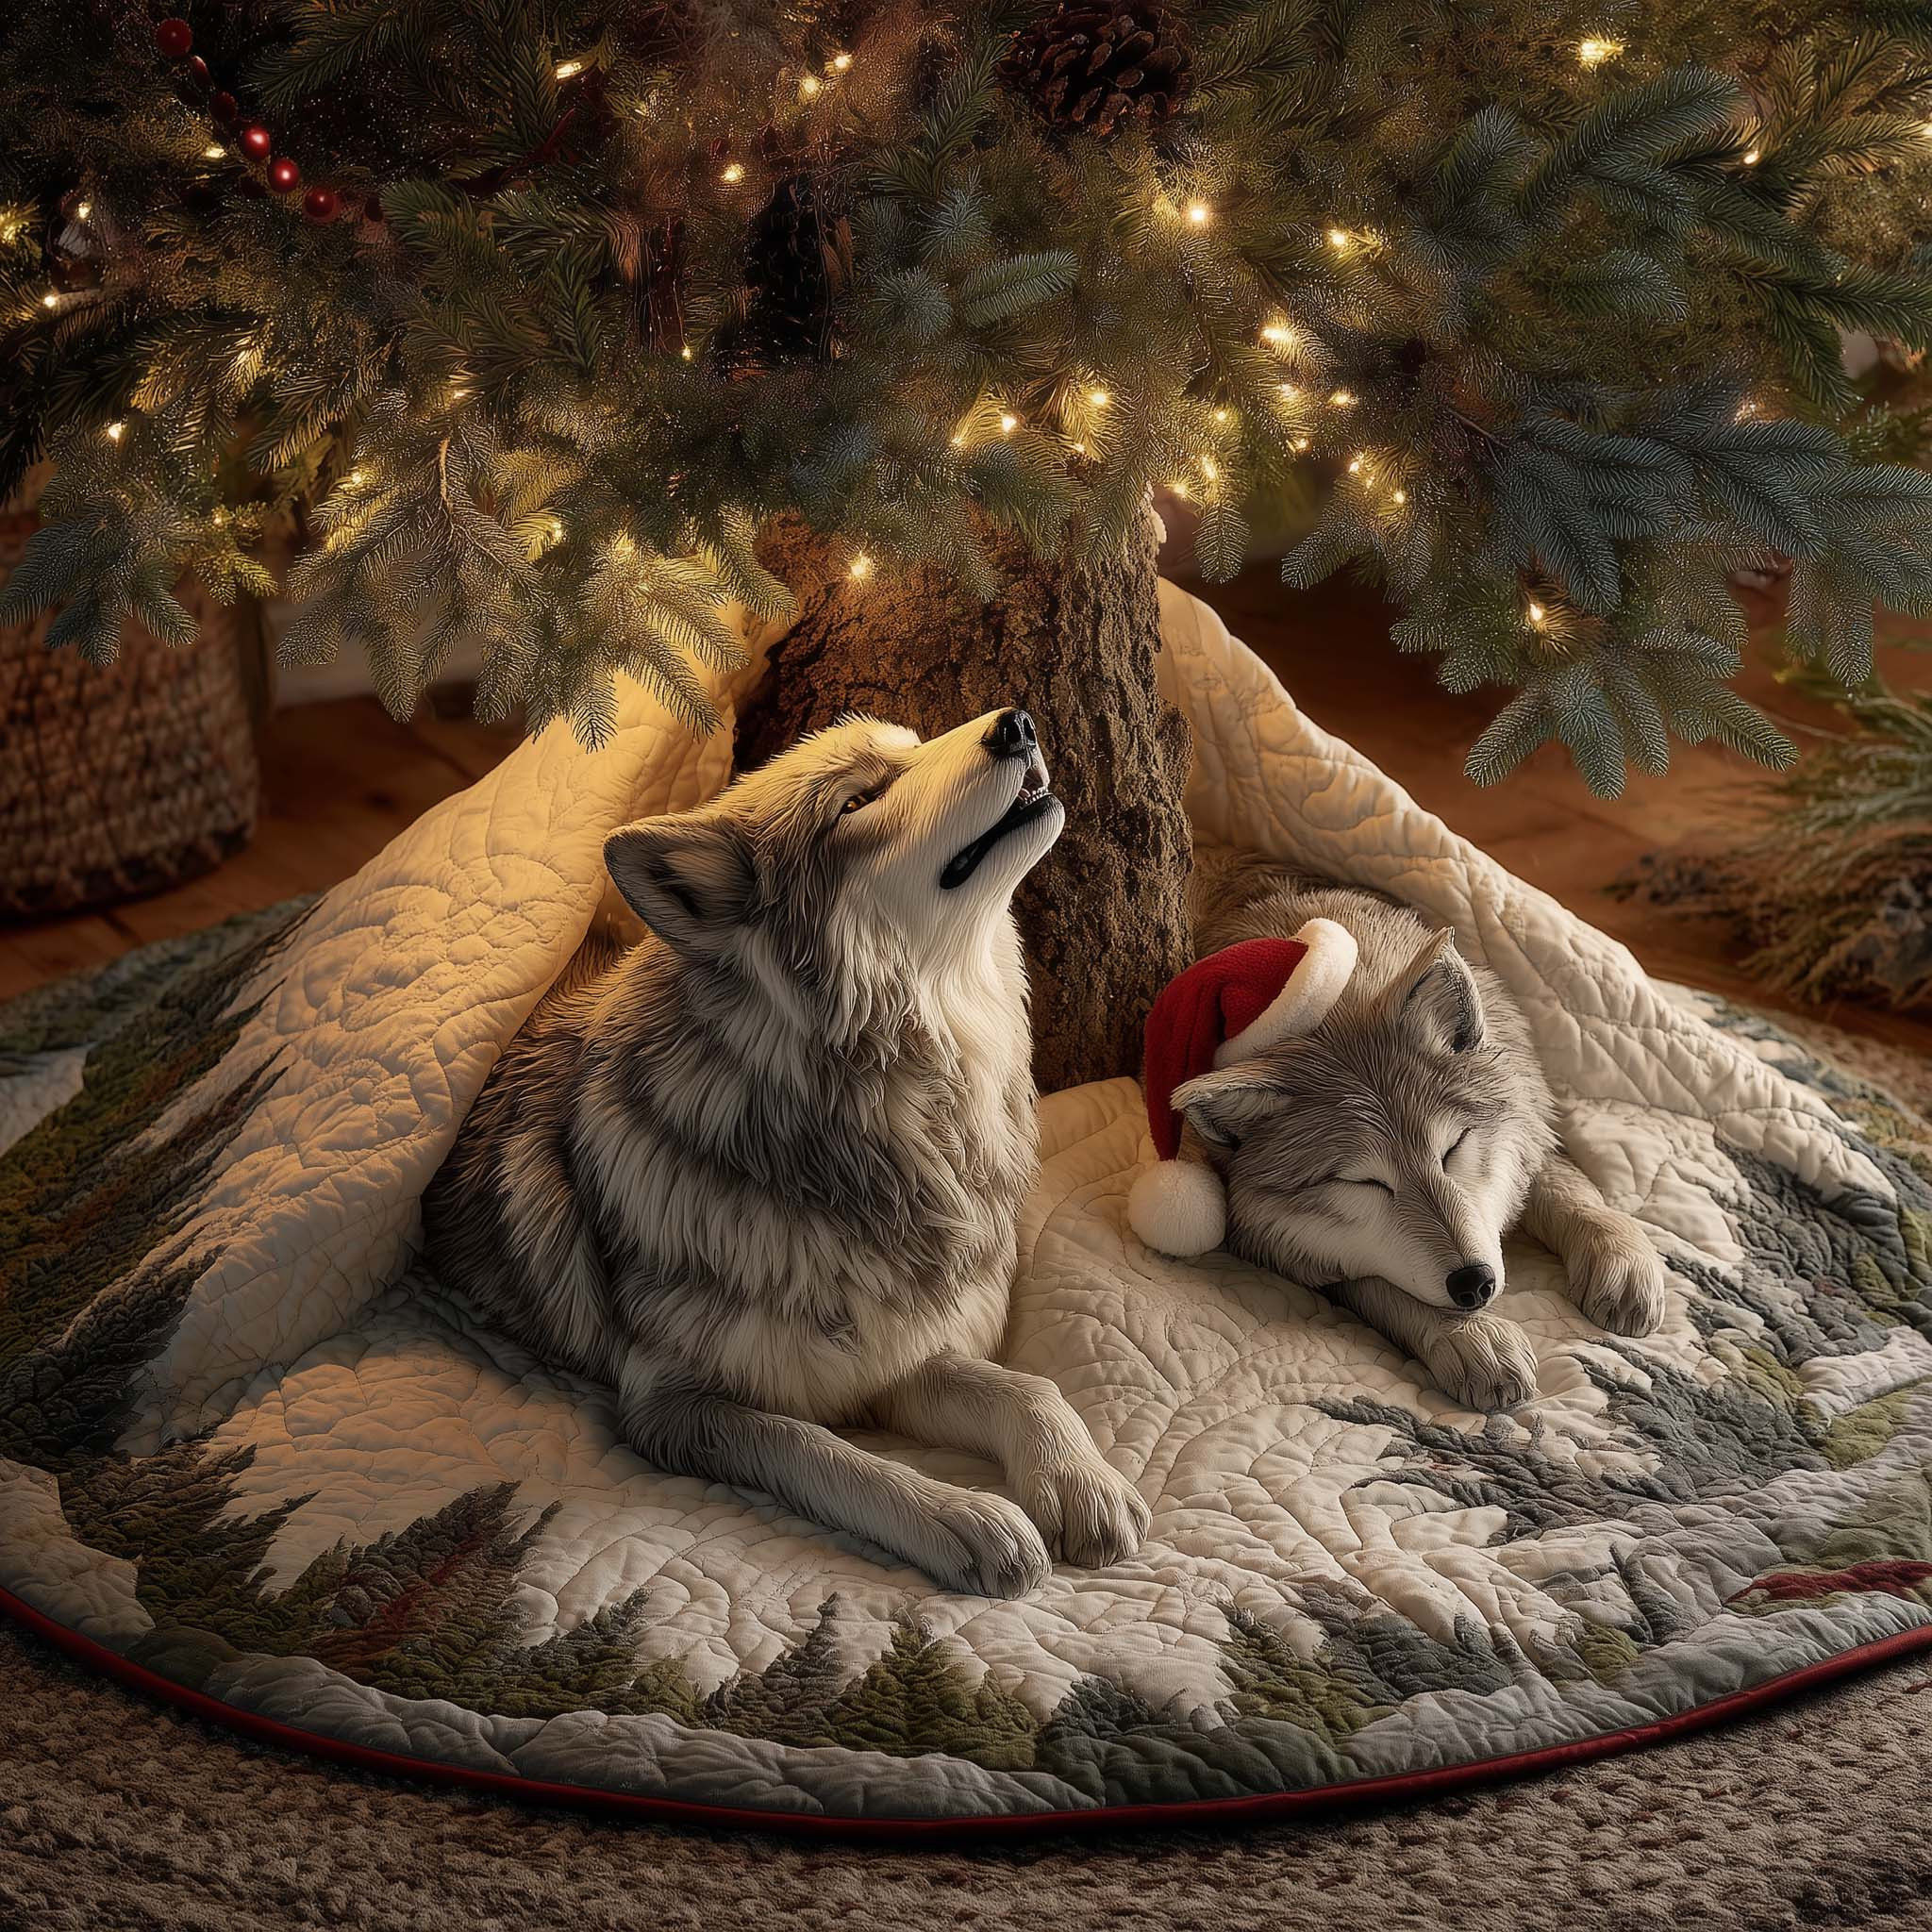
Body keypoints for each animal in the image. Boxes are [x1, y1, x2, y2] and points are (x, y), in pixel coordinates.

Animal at [421, 706, 1148, 1596]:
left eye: (913, 747)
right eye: (857, 802)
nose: (1017, 722)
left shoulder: (893, 1360)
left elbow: (1026, 1386)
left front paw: (1083, 1483)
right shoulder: (669, 1406)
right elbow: (829, 1453)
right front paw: (969, 1519)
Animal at [1174, 853, 1668, 1409]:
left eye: (1452, 1149)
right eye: (1364, 1182)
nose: (1474, 1284)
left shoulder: (1529, 1124)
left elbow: (1568, 1189)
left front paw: (1620, 1255)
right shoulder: (1292, 1254)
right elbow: (1375, 1285)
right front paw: (1468, 1336)